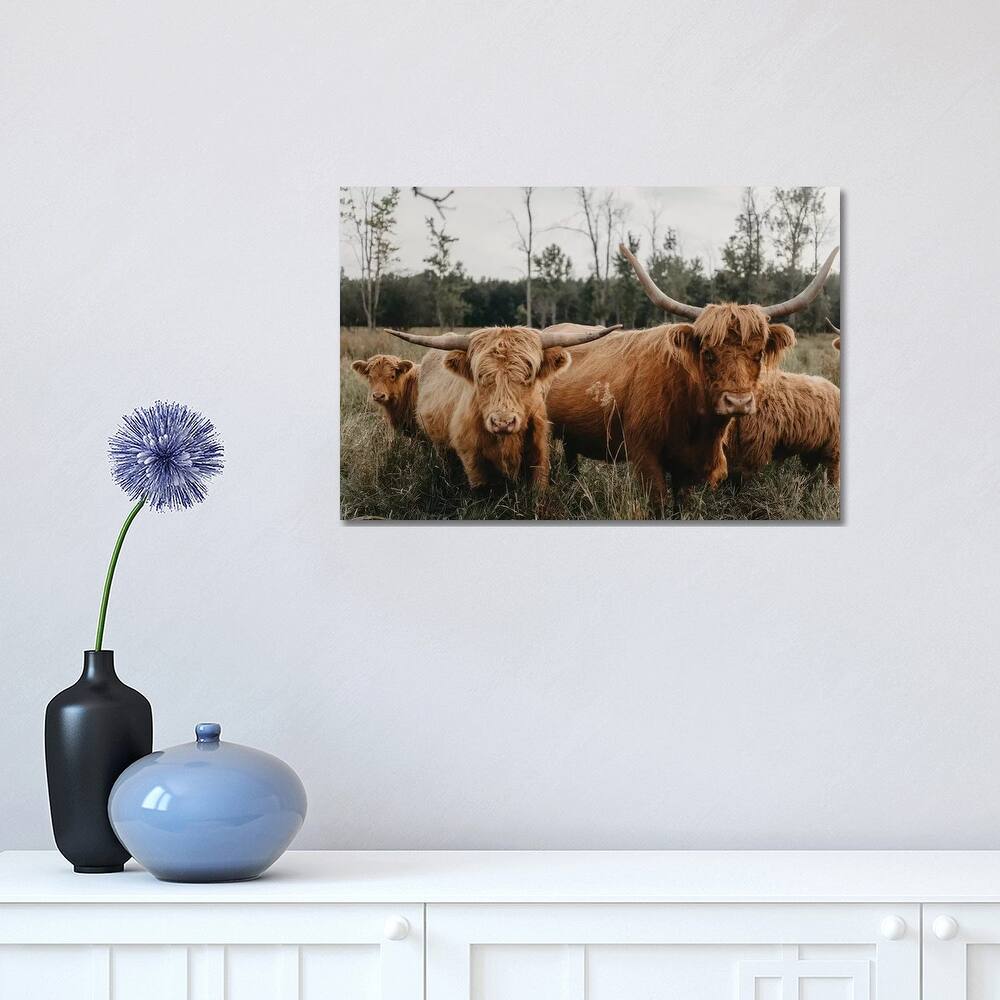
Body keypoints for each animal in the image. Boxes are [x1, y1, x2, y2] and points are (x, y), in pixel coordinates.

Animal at [546, 244, 839, 513]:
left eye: (758, 354)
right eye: (708, 353)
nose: (738, 402)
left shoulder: (687, 465)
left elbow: (681, 506)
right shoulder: (645, 456)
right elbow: (659, 505)